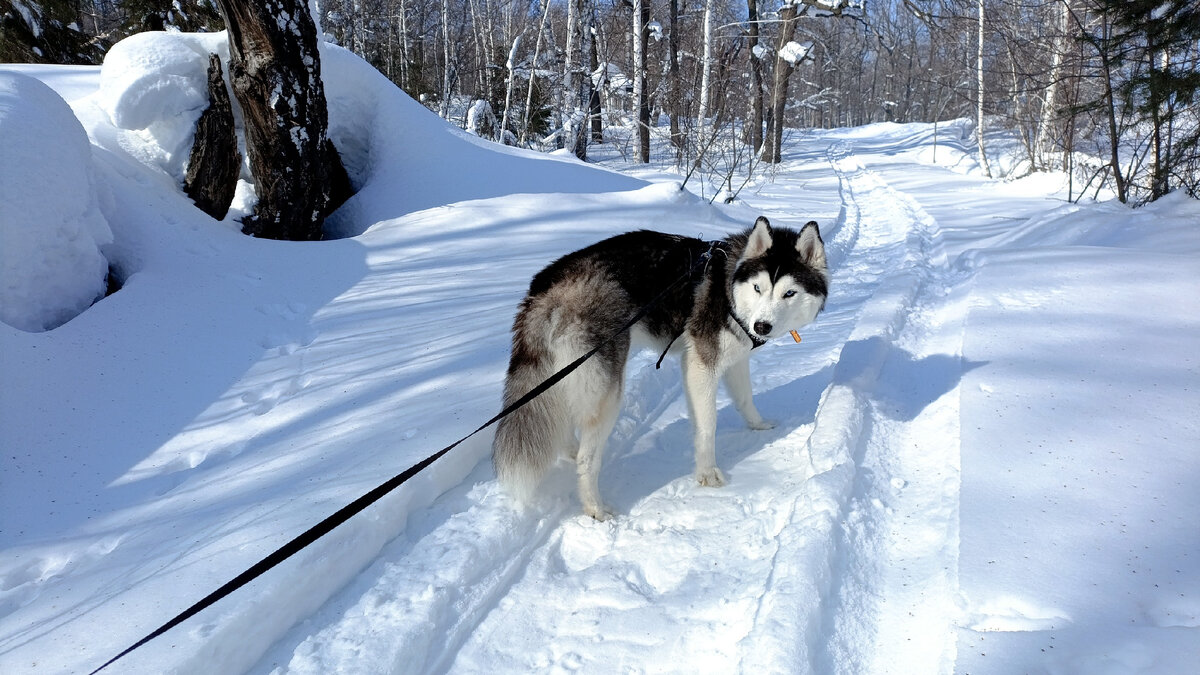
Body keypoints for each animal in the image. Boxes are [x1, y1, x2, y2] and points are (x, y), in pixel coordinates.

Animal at [492, 212, 830, 516]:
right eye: (758, 288)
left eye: (789, 293)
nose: (761, 326)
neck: (728, 285)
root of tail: (546, 284)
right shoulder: (700, 366)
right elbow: (707, 426)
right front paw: (707, 474)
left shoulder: (734, 360)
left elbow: (745, 399)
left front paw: (759, 425)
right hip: (606, 391)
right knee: (589, 458)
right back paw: (595, 507)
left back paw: (571, 453)